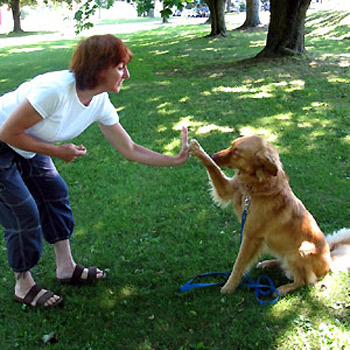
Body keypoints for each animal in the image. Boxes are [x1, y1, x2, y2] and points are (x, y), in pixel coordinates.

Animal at [190, 135, 350, 296]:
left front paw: (229, 286)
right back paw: (268, 263)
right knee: (285, 264)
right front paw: (197, 150)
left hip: (299, 252)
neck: (255, 187)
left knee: (303, 281)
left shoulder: (250, 237)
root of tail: (330, 260)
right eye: (231, 145)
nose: (214, 155)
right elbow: (213, 167)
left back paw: (282, 289)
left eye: (236, 153)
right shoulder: (228, 189)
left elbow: (239, 264)